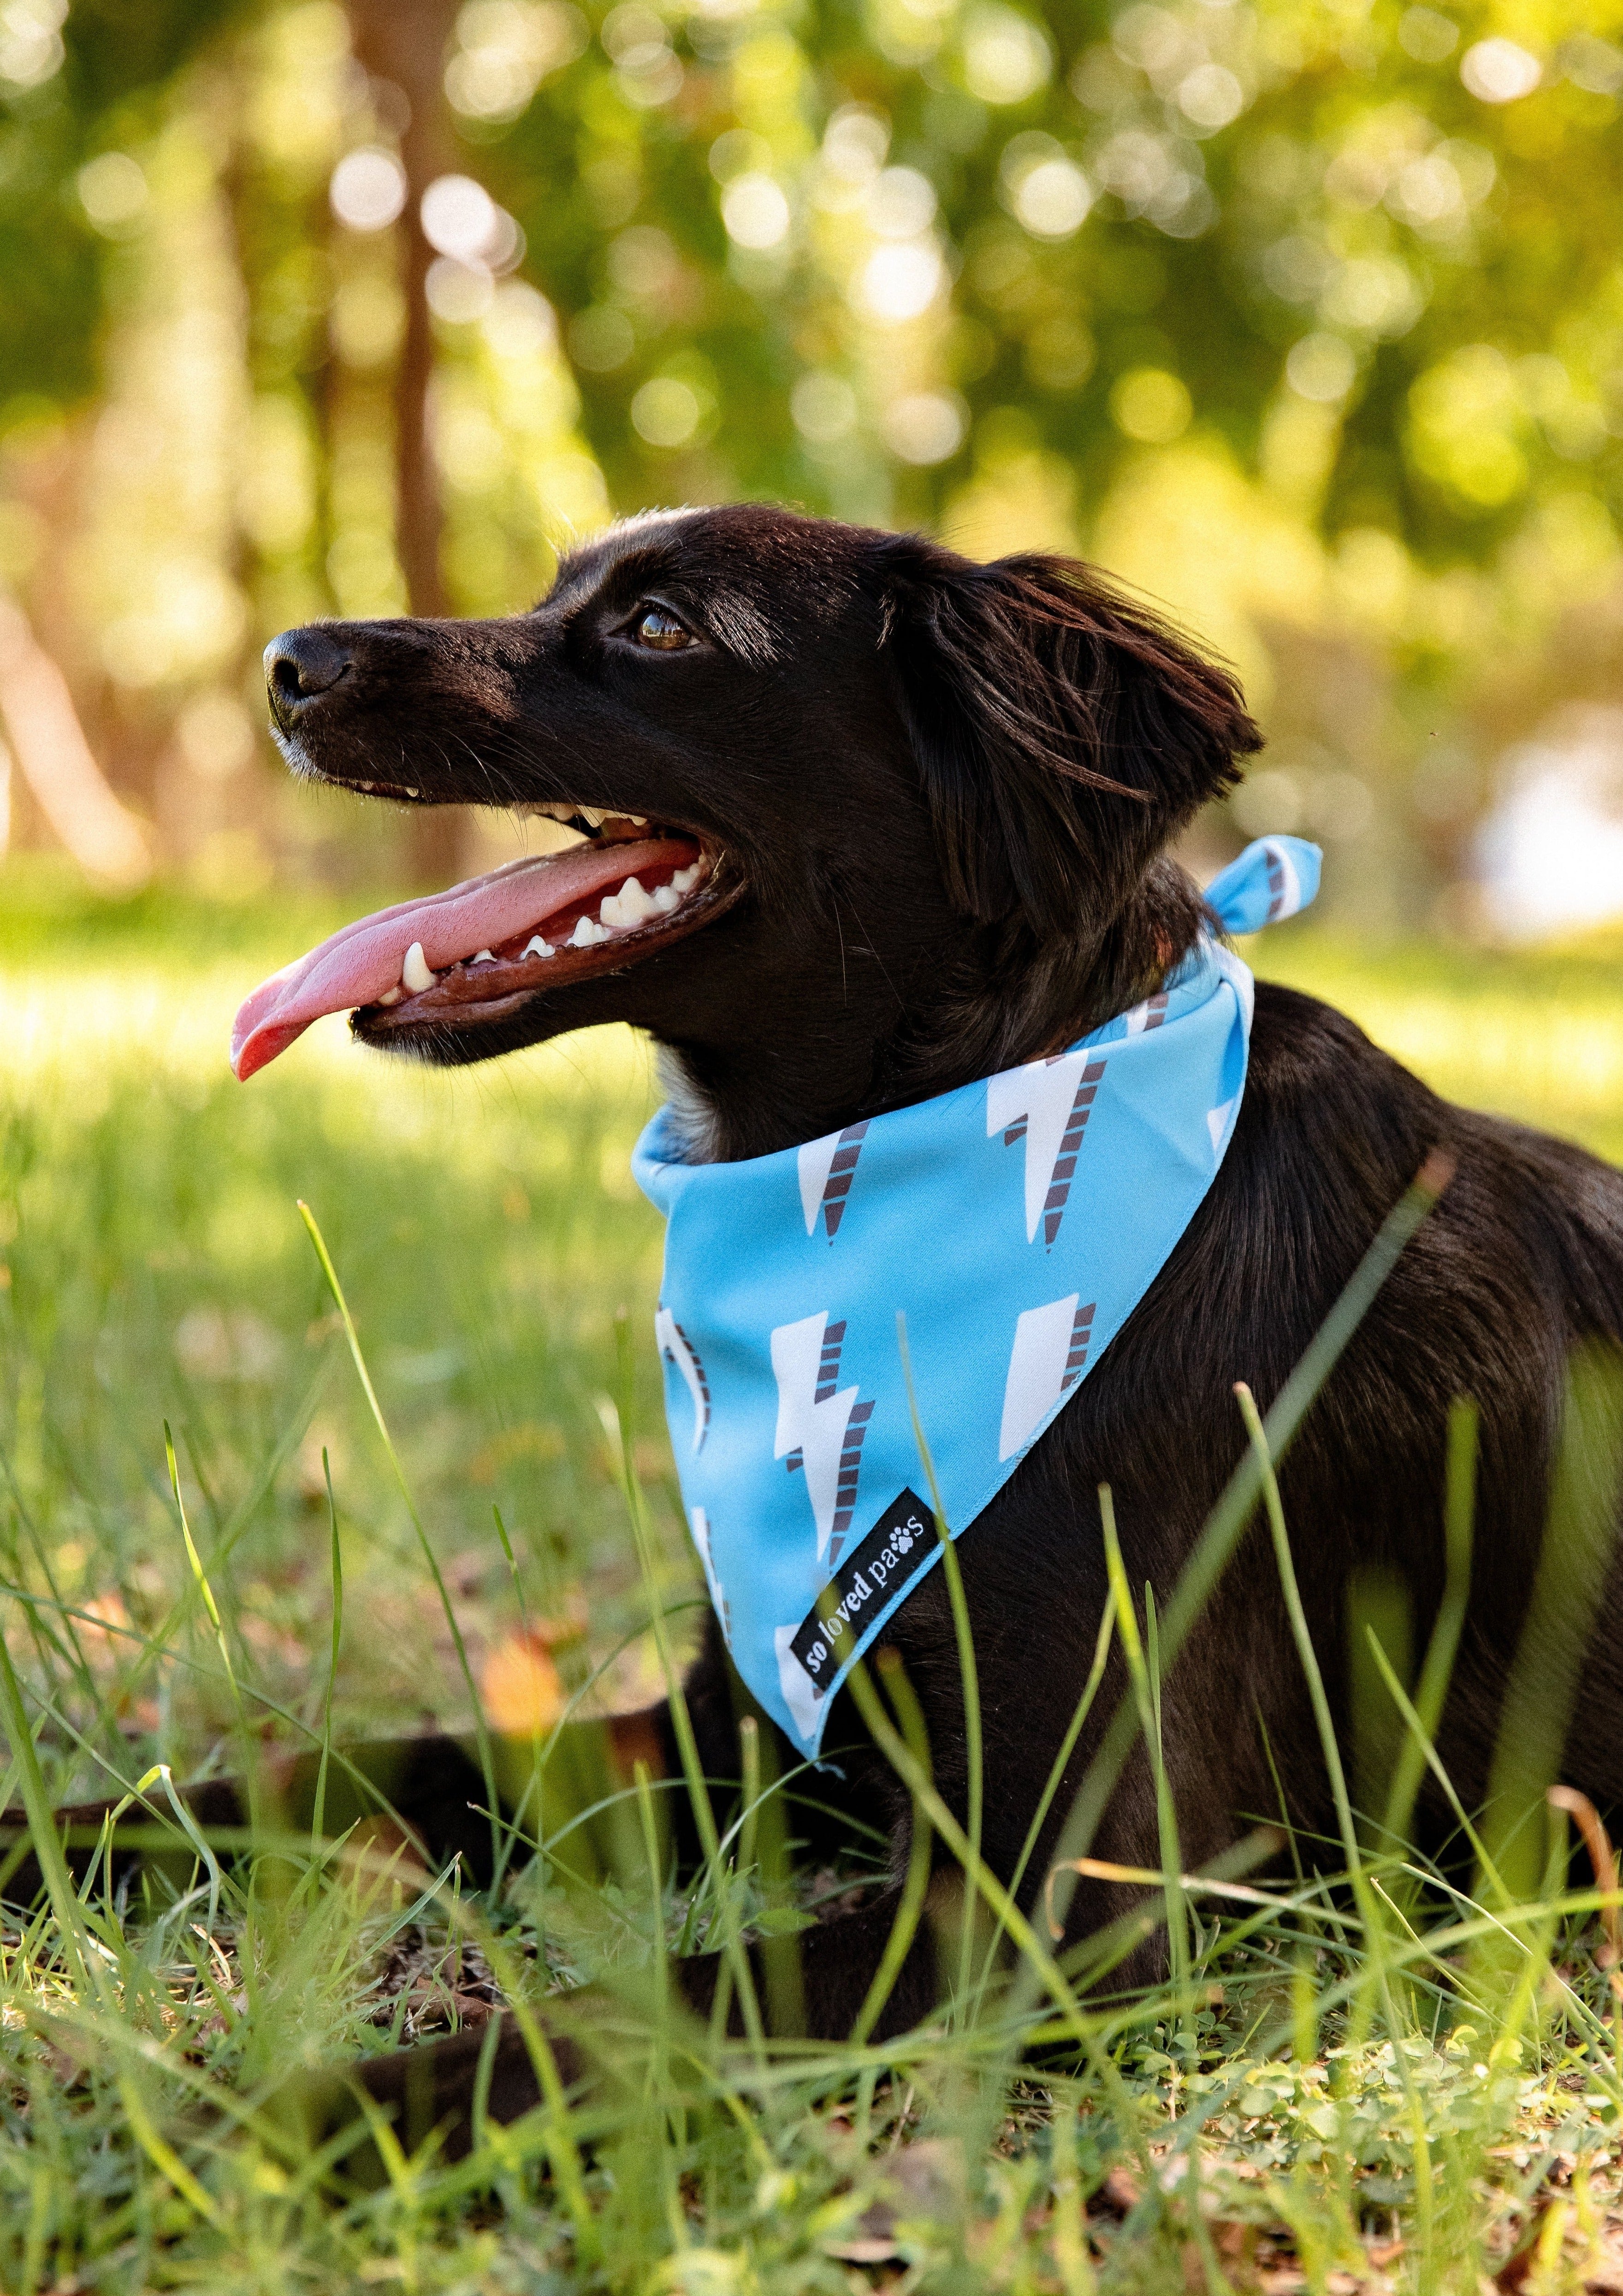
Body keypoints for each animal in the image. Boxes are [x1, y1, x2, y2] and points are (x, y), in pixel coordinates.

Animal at [16, 503, 1623, 2130]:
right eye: (556, 587)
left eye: (661, 627)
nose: (290, 660)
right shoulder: (733, 1726)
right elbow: (326, 1778)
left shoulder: (1048, 1898)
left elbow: (600, 2026)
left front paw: (252, 2135)